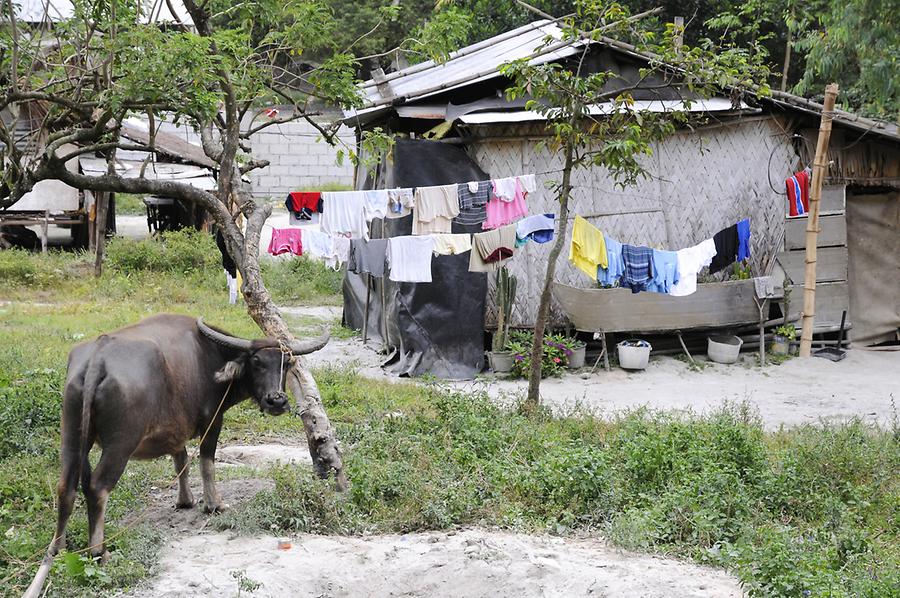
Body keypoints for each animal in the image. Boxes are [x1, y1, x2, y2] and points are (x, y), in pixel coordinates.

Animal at [47, 316, 326, 560]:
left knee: (65, 486)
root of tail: (97, 359)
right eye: (256, 361)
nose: (276, 401)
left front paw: (185, 500)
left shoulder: (174, 430)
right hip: (120, 445)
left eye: (286, 363)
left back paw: (57, 548)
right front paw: (214, 504)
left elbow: (180, 461)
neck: (209, 357)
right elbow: (206, 464)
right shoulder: (213, 420)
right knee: (98, 487)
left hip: (71, 436)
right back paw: (98, 551)